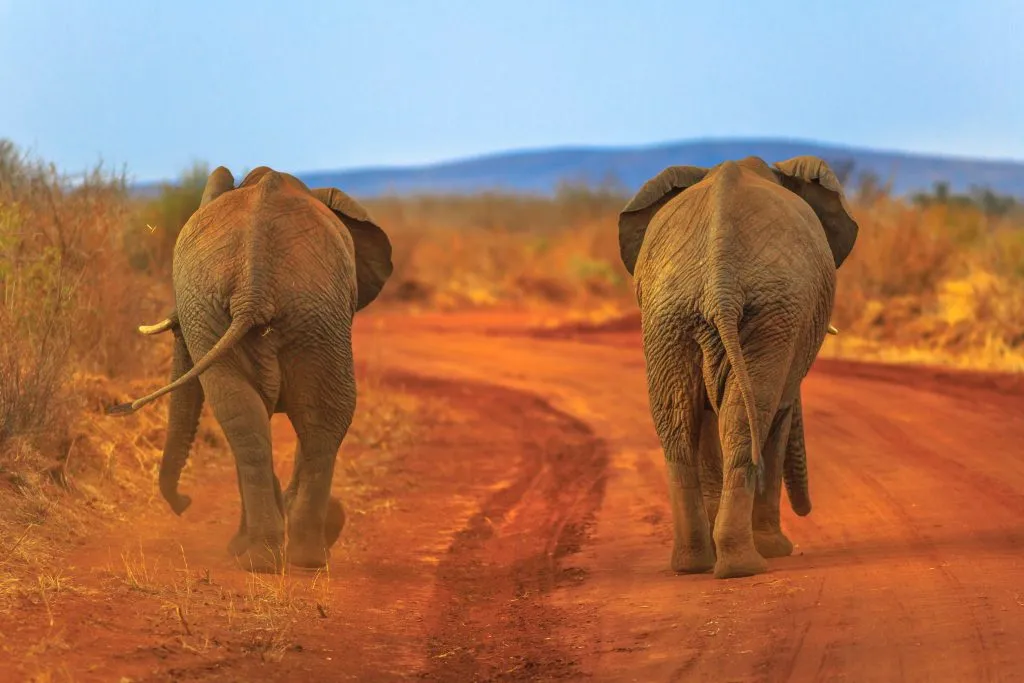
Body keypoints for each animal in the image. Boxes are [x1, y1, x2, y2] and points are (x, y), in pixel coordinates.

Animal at [107, 165, 393, 573]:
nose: (185, 504)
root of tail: (253, 287)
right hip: (305, 314)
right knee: (298, 416)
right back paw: (290, 558)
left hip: (291, 313)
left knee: (275, 416)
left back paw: (278, 556)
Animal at [618, 155, 858, 579]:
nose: (807, 509)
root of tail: (721, 283)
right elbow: (777, 417)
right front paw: (776, 549)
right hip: (768, 314)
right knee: (750, 417)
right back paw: (744, 564)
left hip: (672, 313)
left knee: (679, 419)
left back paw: (695, 563)